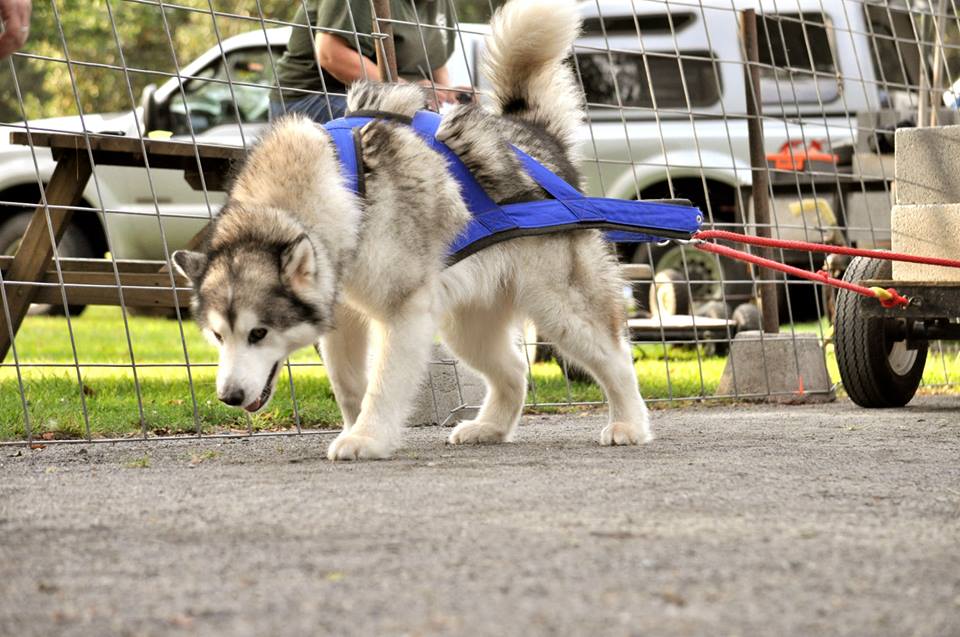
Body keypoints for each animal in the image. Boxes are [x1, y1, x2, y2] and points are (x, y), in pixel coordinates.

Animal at [172, 0, 652, 460]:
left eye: (258, 333)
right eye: (218, 335)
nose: (230, 397)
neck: (342, 186)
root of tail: (533, 134)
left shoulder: (403, 313)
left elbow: (383, 385)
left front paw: (368, 438)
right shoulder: (341, 316)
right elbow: (349, 386)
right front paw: (354, 428)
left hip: (560, 310)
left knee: (616, 358)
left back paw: (629, 425)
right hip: (466, 327)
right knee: (516, 370)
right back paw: (490, 428)